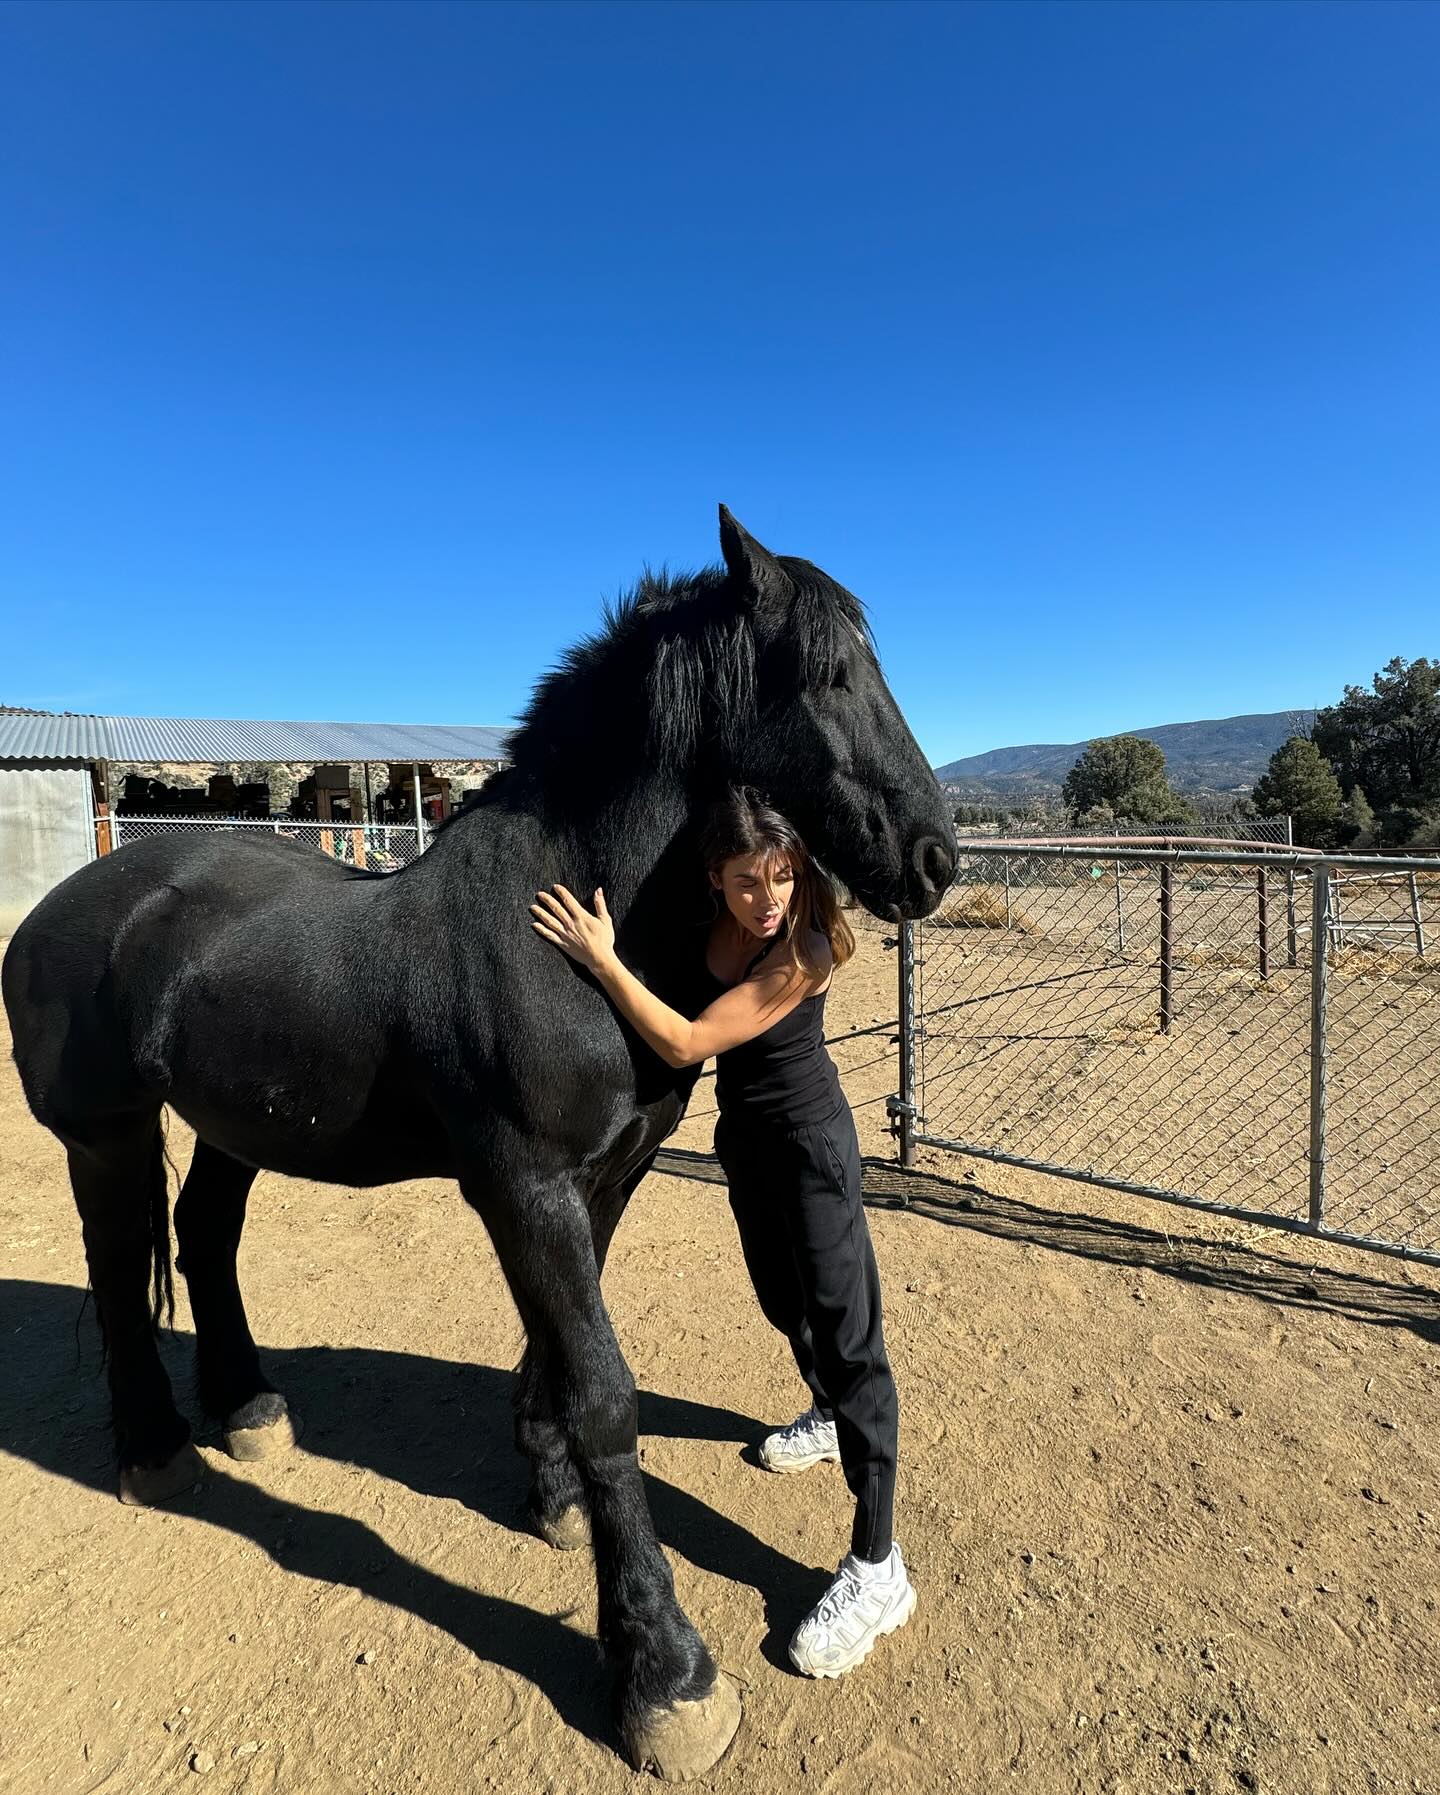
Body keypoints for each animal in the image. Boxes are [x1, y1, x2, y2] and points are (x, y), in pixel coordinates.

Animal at [2, 509, 955, 1780]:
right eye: (833, 673)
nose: (937, 858)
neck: (562, 926)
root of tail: (63, 908)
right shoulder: (524, 1186)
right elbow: (604, 1388)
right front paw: (664, 1673)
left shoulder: (604, 1177)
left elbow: (562, 1353)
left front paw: (549, 1494)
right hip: (105, 1135)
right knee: (117, 1274)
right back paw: (157, 1449)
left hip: (231, 1125)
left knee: (204, 1238)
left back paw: (247, 1410)